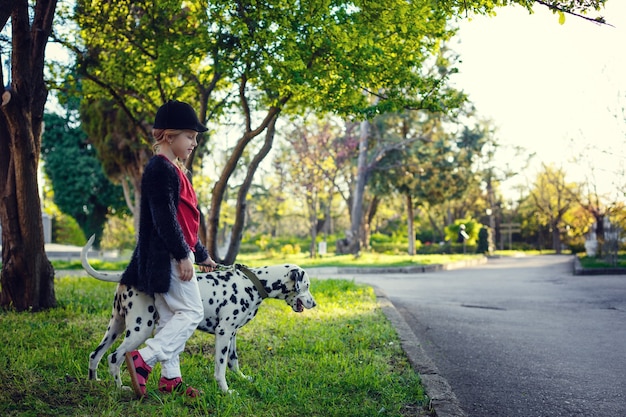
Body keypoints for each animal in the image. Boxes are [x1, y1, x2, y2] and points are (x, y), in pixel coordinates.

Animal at [81, 236, 316, 392]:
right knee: (115, 357)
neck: (252, 283)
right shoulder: (223, 333)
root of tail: (126, 277)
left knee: (95, 355)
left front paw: (242, 379)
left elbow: (233, 362)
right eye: (306, 285)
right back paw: (122, 388)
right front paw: (225, 391)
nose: (314, 303)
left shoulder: (232, 335)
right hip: (140, 329)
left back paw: (94, 382)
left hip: (115, 327)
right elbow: (220, 368)